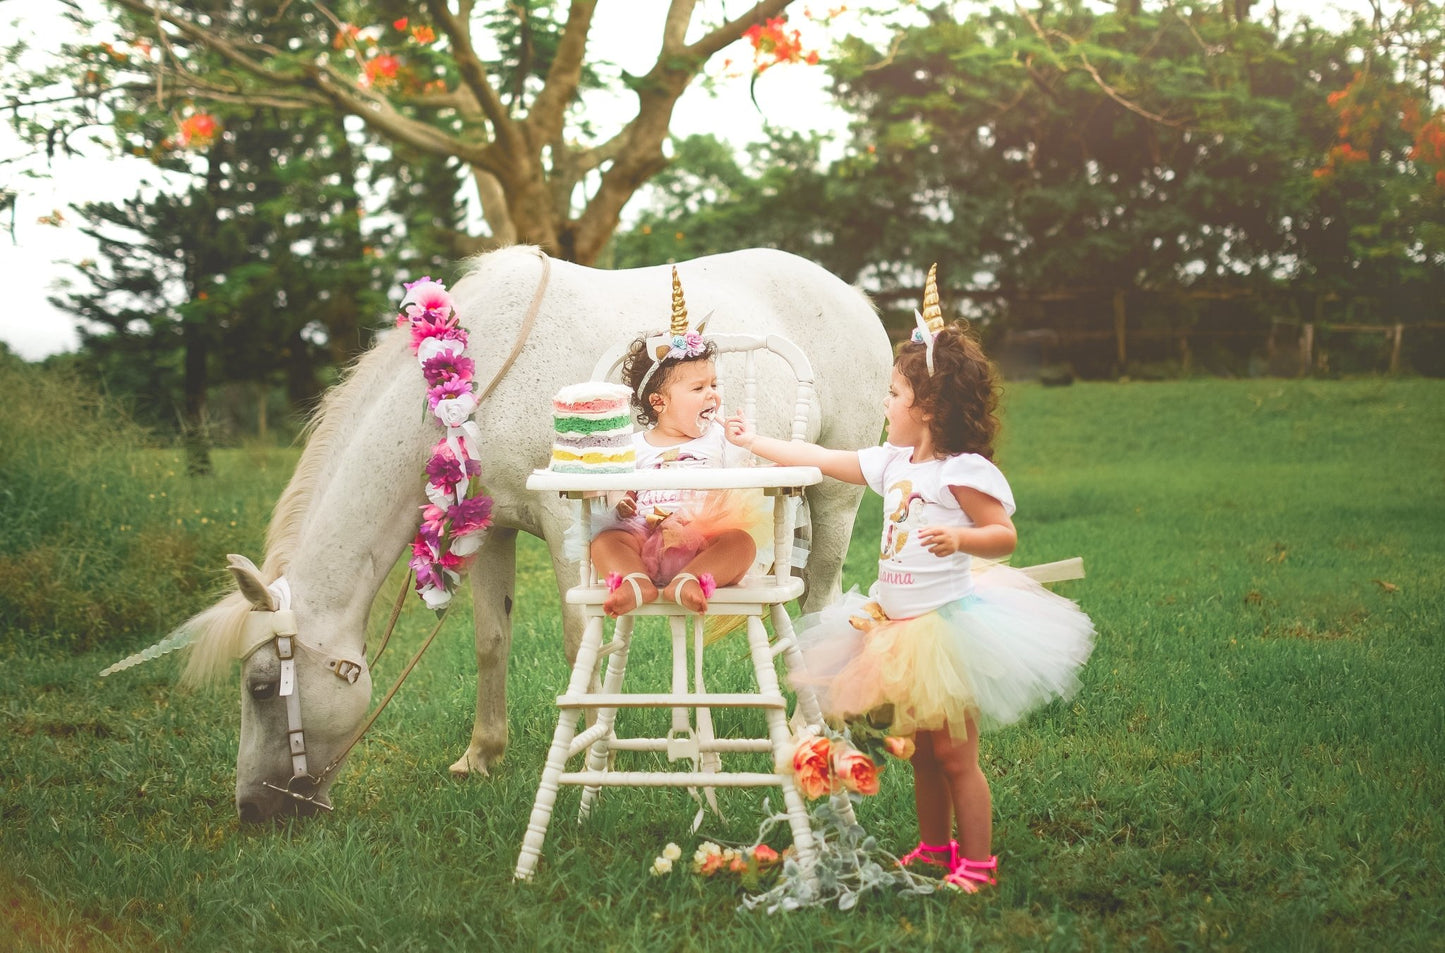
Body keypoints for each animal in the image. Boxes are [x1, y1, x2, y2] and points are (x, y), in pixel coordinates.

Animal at [135, 244, 890, 820]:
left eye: (262, 687)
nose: (251, 810)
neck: (477, 385)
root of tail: (851, 296)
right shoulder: (489, 530)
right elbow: (490, 642)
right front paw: (481, 755)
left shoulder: (565, 525)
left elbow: (578, 642)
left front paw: (589, 756)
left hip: (834, 496)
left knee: (820, 604)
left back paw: (821, 730)